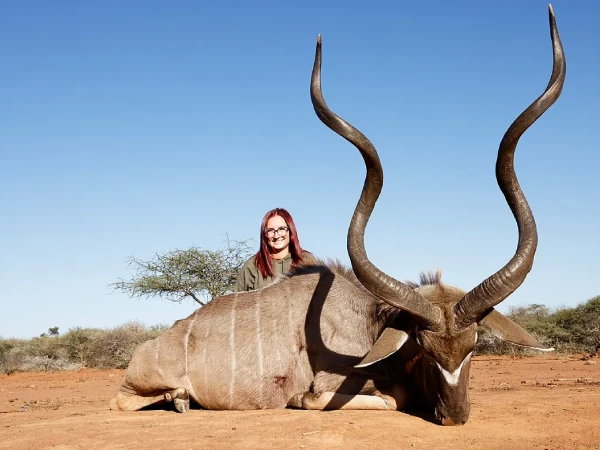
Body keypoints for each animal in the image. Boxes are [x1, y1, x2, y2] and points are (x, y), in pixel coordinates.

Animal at [111, 6, 565, 425]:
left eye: (472, 346)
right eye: (423, 347)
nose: (454, 415)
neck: (371, 324)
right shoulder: (330, 384)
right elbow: (386, 397)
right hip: (137, 386)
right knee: (123, 400)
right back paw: (179, 398)